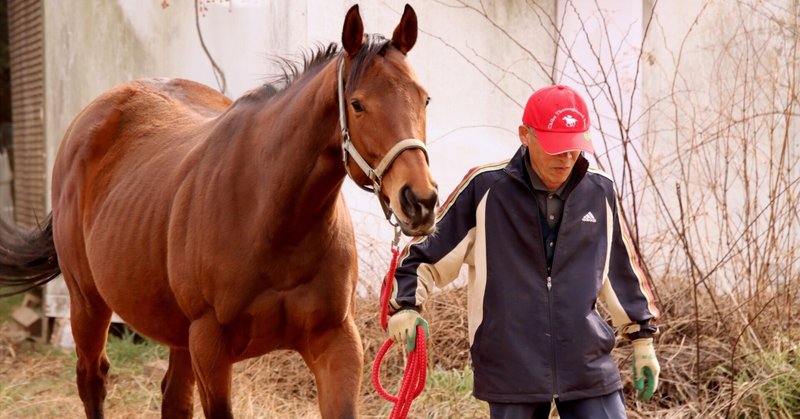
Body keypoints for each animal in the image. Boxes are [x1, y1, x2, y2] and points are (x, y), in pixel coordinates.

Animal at [0, 4, 437, 418]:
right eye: (357, 105)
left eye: (425, 97)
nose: (420, 201)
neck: (272, 218)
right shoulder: (211, 346)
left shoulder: (337, 342)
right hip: (88, 304)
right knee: (92, 381)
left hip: (177, 334)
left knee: (173, 400)